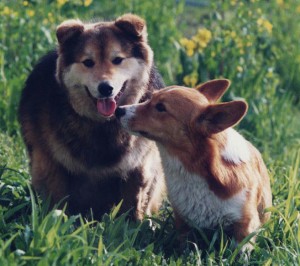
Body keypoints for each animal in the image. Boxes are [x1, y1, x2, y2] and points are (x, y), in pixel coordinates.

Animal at [18, 13, 166, 219]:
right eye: (88, 62)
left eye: (117, 59)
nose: (105, 88)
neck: (103, 124)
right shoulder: (50, 162)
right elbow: (57, 200)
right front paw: (55, 220)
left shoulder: (139, 165)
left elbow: (134, 202)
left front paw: (133, 224)